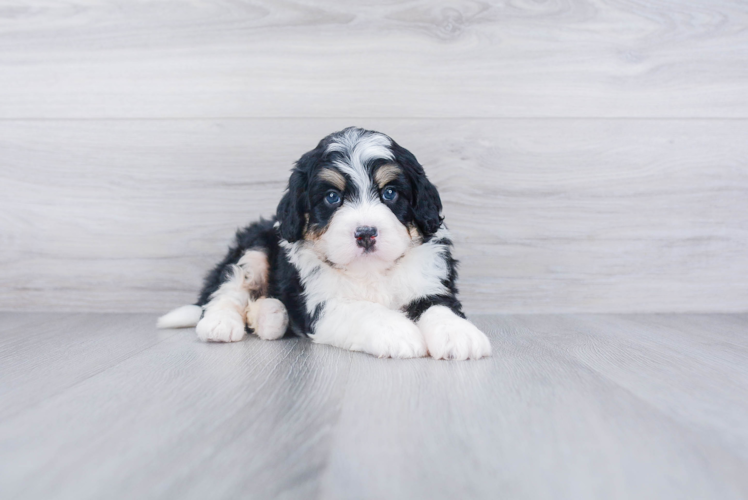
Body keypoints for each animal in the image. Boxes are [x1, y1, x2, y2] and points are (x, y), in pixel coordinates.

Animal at [158, 126, 490, 360]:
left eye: (390, 193)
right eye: (332, 197)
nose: (366, 233)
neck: (371, 271)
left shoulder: (429, 279)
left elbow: (439, 306)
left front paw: (458, 335)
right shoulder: (322, 303)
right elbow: (364, 311)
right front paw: (397, 332)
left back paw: (272, 317)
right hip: (254, 247)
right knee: (228, 288)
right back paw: (220, 324)